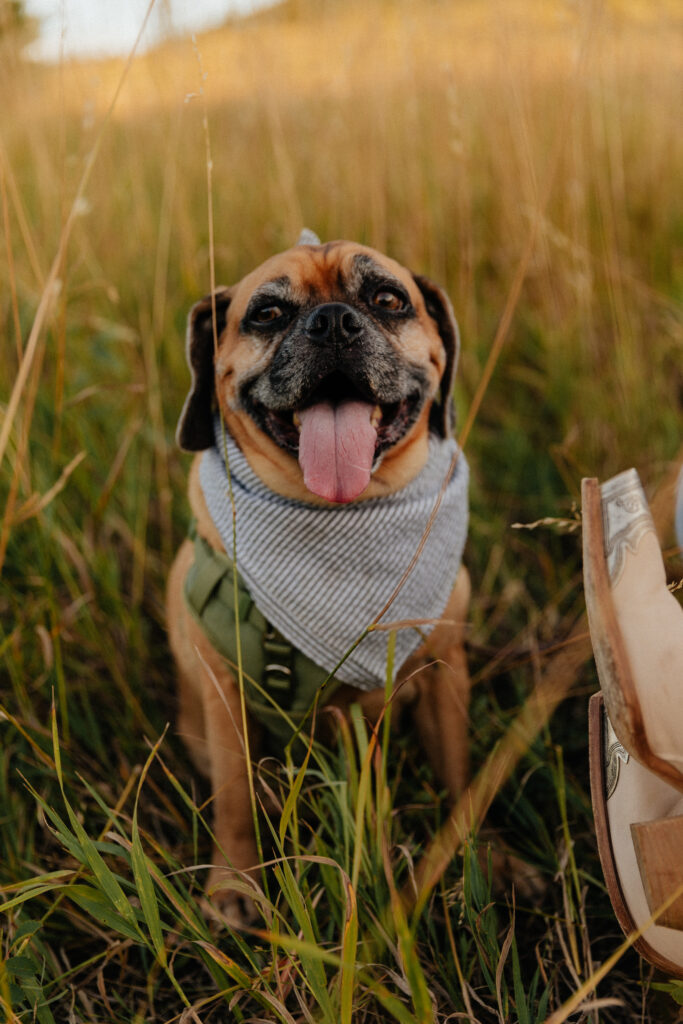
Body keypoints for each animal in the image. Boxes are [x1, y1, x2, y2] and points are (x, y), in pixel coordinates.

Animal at [167, 234, 473, 929]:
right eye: (267, 314)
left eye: (387, 299)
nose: (333, 322)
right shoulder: (226, 697)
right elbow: (234, 800)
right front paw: (235, 886)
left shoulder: (444, 674)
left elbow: (460, 783)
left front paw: (482, 865)